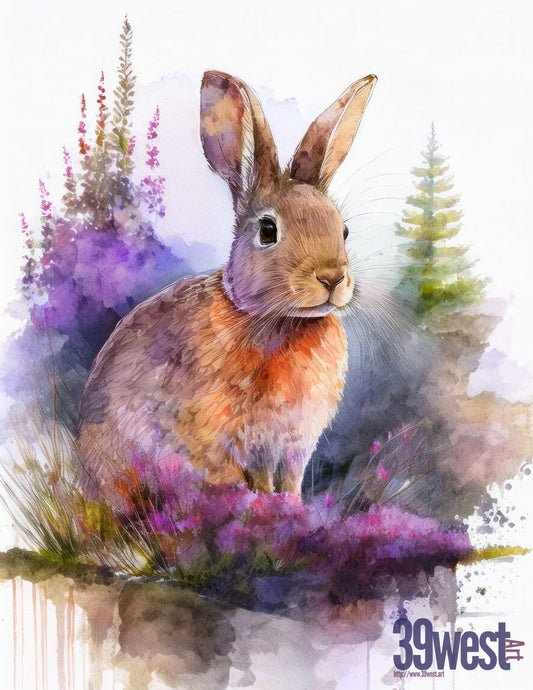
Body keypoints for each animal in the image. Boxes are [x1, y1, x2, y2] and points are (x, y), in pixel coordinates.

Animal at [77, 70, 377, 508]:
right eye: (268, 230)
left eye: (344, 230)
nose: (332, 278)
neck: (275, 320)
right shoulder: (245, 440)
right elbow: (260, 479)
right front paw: (271, 509)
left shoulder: (292, 446)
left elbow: (289, 482)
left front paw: (293, 508)